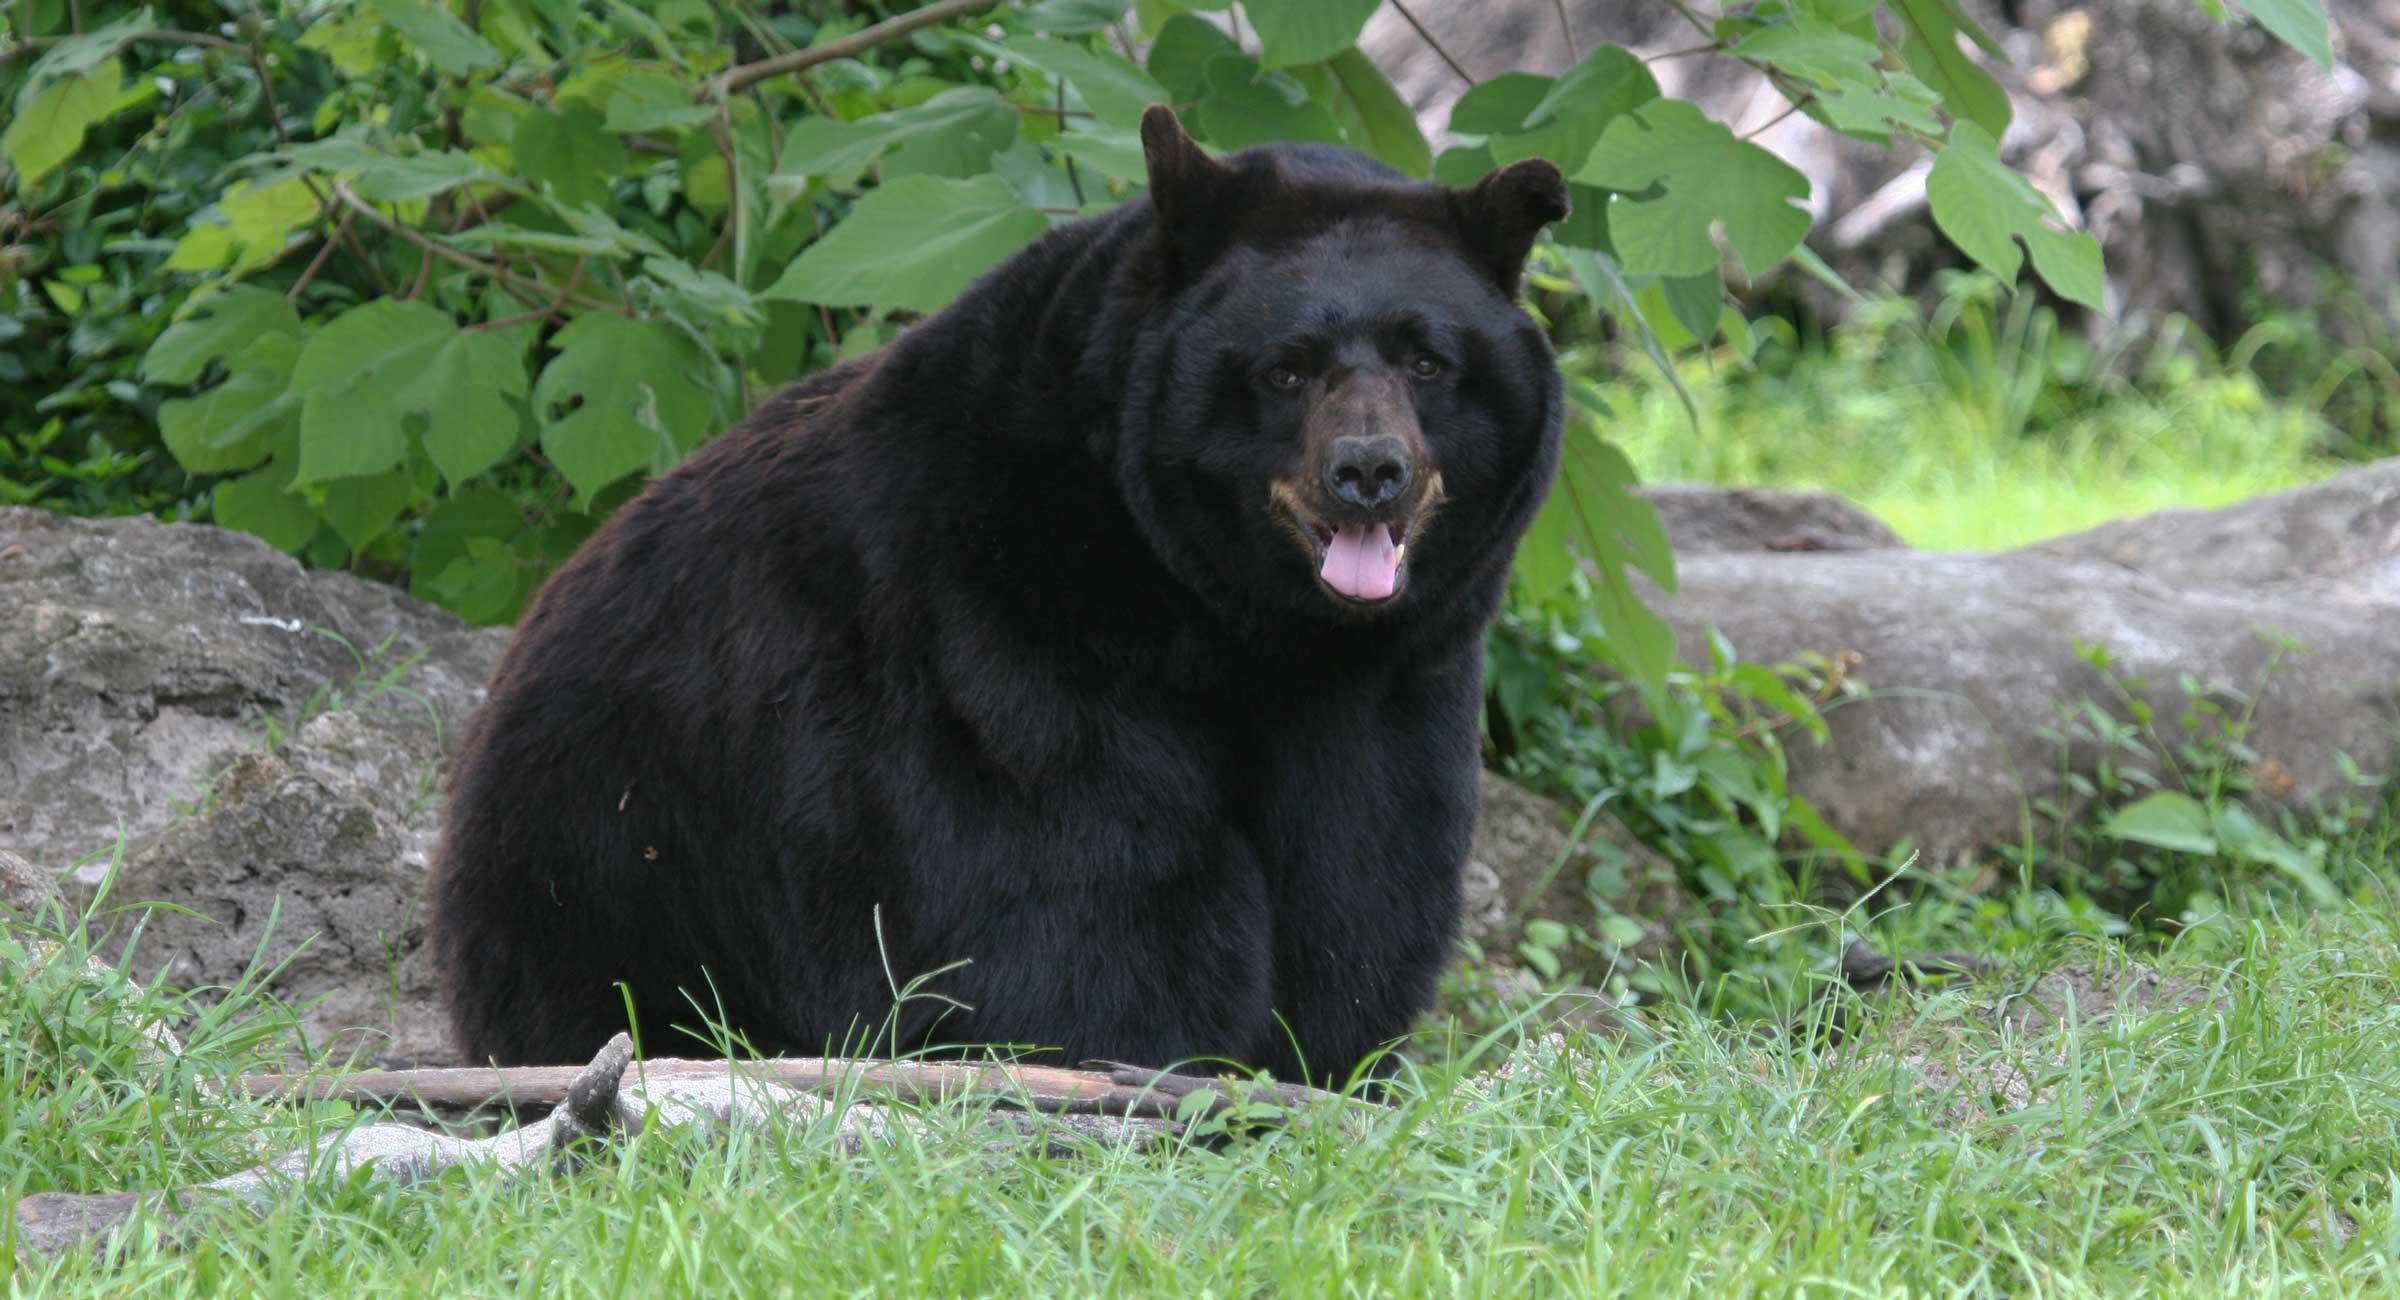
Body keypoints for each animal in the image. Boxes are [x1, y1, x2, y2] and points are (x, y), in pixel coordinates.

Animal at [427, 106, 1569, 1085]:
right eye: (1285, 369)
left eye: (1428, 359)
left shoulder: (1398, 685)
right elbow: (1072, 904)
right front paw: (1143, 1053)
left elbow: (1363, 886)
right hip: (616, 858)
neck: (1228, 617)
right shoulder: (998, 641)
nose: (1368, 470)